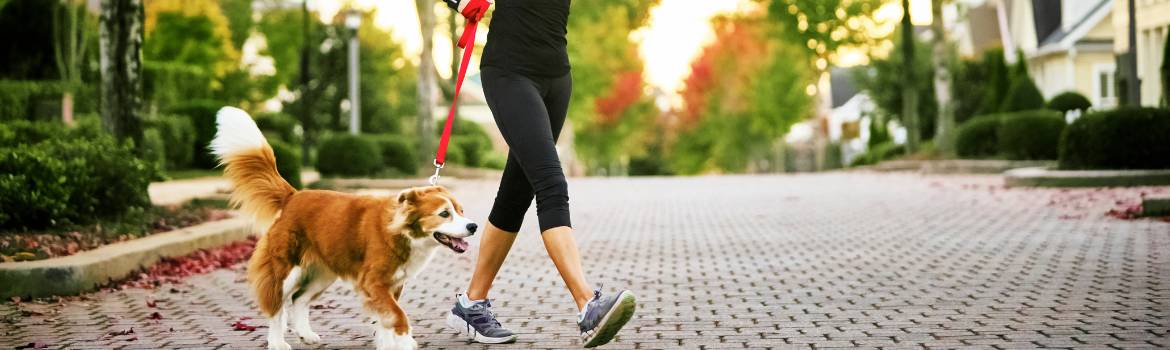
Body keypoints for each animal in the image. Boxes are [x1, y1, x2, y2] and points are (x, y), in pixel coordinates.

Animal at [210, 107, 475, 350]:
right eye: (444, 214)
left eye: (461, 211)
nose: (473, 226)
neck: (403, 233)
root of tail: (293, 196)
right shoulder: (374, 282)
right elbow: (397, 315)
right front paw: (404, 340)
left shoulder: (393, 284)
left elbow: (386, 319)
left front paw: (388, 343)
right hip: (285, 268)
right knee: (277, 306)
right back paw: (277, 342)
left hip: (323, 272)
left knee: (299, 299)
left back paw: (306, 334)